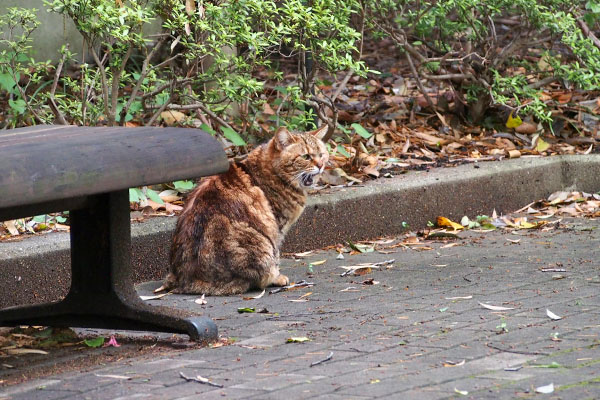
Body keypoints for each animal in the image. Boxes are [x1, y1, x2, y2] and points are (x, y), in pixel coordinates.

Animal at [158, 126, 328, 296]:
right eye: (306, 156)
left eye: (321, 154)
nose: (321, 165)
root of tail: (185, 282)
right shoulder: (277, 227)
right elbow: (276, 255)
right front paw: (278, 276)